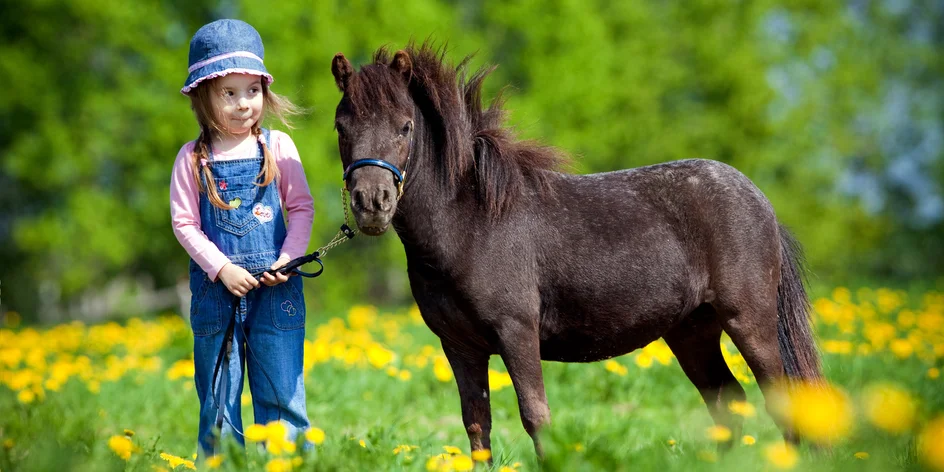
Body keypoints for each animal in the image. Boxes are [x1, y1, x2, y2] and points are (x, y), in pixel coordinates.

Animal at [330, 41, 820, 458]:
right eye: (341, 126)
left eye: (405, 126)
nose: (372, 203)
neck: (470, 223)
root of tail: (758, 199)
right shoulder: (459, 346)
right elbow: (477, 426)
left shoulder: (517, 333)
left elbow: (536, 418)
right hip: (691, 330)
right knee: (725, 399)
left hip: (749, 321)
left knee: (781, 400)